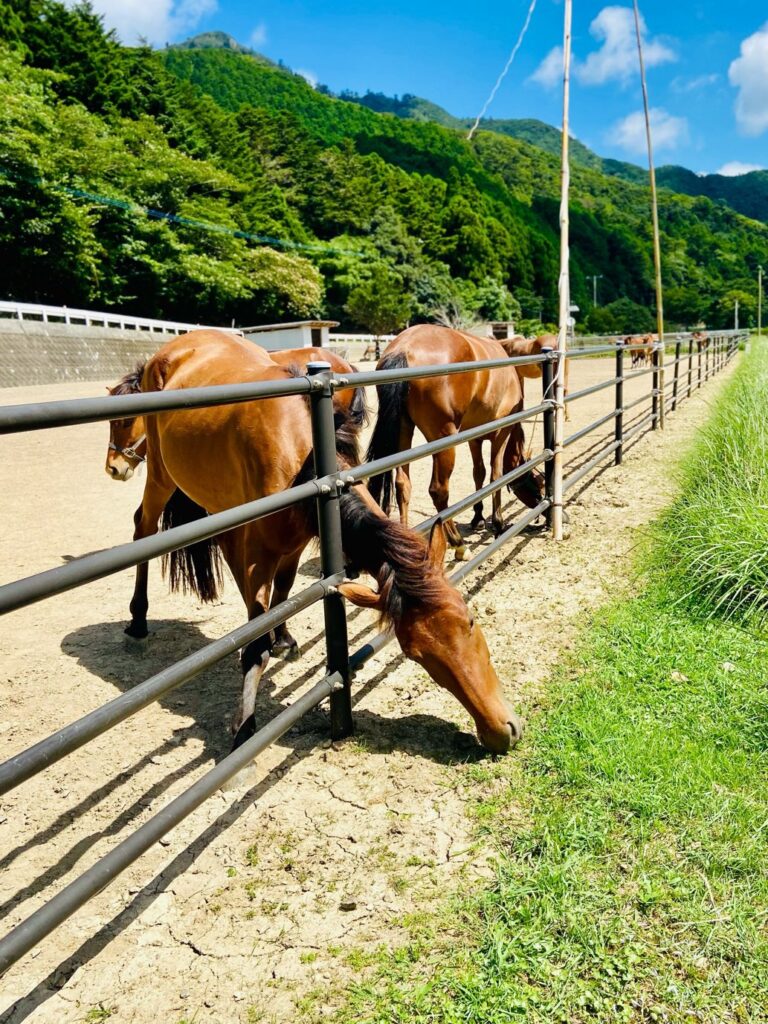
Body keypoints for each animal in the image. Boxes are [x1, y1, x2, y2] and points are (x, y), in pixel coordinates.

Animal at [368, 323, 544, 557]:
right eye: (538, 481)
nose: (540, 505)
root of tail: (403, 349)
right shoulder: (501, 432)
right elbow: (495, 475)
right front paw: (498, 524)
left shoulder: (474, 438)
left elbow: (479, 473)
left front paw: (478, 517)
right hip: (444, 440)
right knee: (439, 491)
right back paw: (458, 543)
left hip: (403, 432)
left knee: (402, 485)